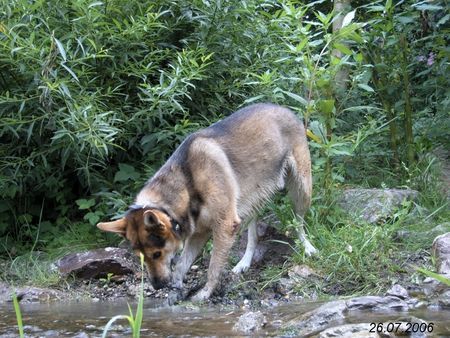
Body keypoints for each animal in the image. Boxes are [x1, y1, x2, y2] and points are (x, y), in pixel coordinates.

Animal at [96, 103, 314, 302]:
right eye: (140, 257)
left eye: (157, 254)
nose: (157, 286)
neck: (187, 183)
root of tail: (282, 107)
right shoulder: (198, 233)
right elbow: (181, 265)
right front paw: (175, 292)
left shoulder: (225, 226)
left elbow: (213, 268)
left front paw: (204, 294)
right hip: (253, 201)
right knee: (253, 235)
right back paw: (244, 263)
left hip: (302, 190)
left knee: (298, 222)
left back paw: (308, 248)